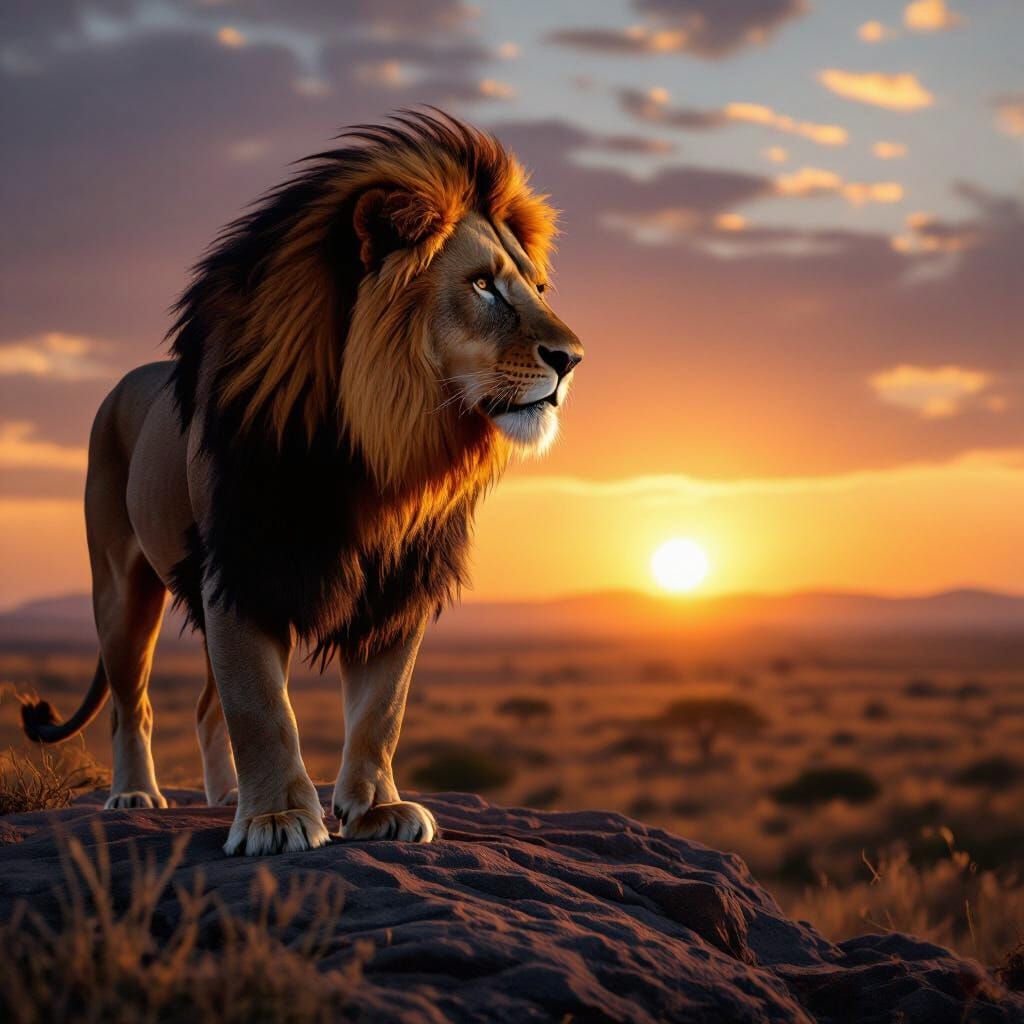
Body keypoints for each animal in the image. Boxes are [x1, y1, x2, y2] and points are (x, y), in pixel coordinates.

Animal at [21, 112, 583, 855]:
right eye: (483, 285)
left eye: (538, 290)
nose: (572, 358)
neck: (379, 445)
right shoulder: (244, 565)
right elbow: (262, 708)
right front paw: (278, 819)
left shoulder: (399, 582)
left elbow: (381, 710)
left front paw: (376, 808)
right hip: (121, 588)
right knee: (131, 702)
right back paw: (136, 794)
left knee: (205, 706)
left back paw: (225, 797)